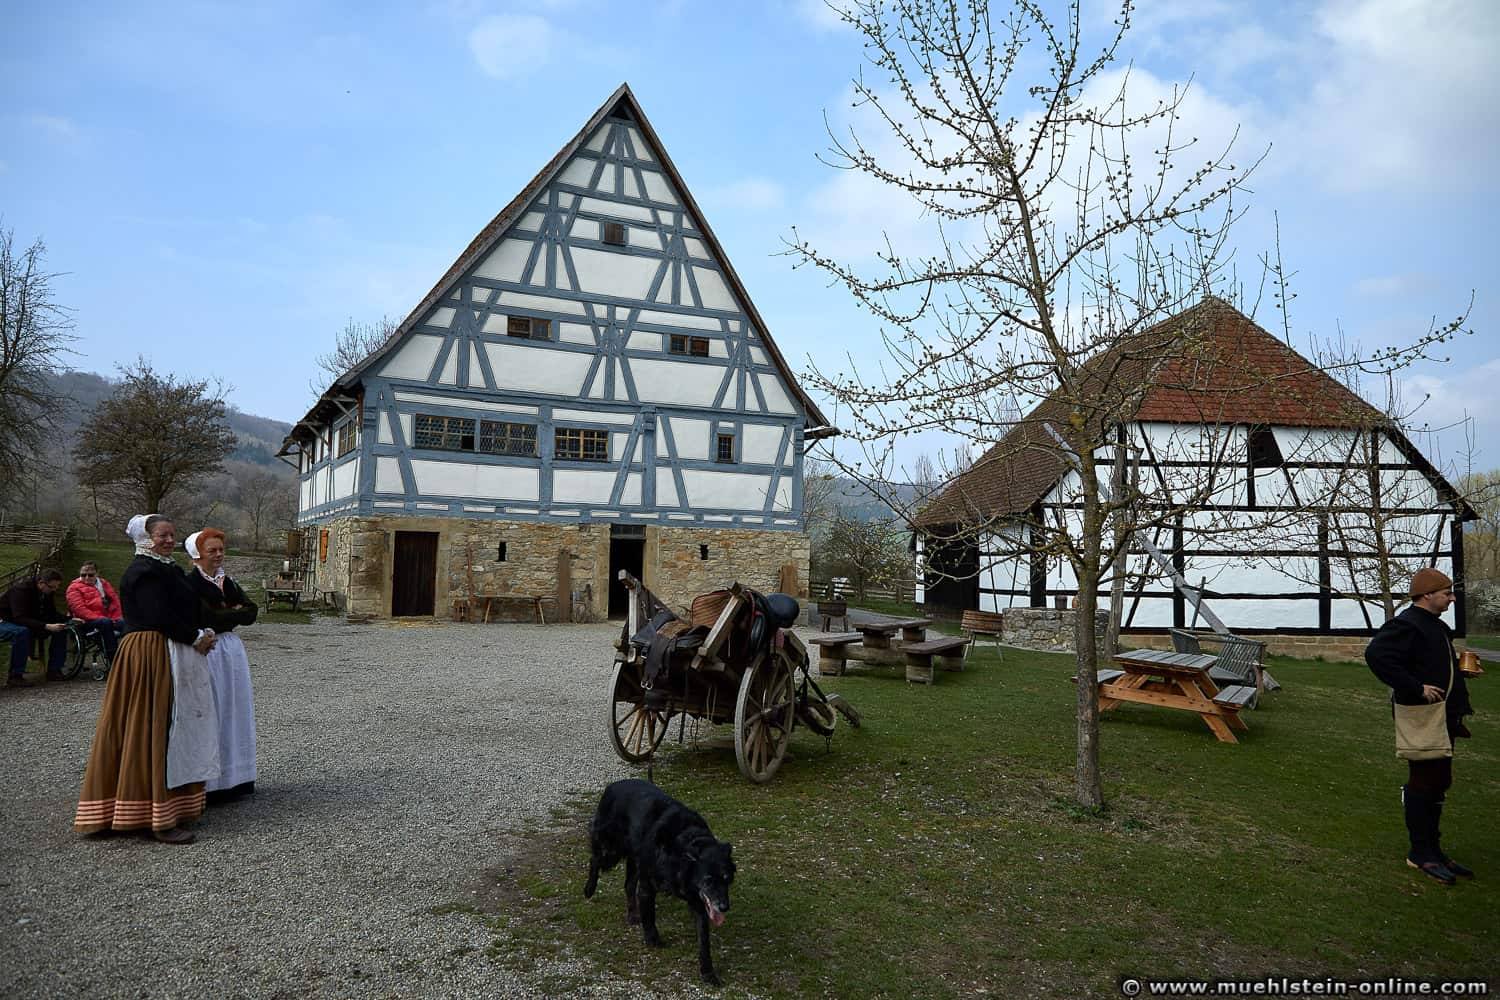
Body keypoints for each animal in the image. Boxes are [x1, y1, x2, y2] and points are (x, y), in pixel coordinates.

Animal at [579, 779, 732, 983]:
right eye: (708, 880)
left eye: (727, 879)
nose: (724, 907)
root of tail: (612, 785)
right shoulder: (648, 886)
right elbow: (650, 916)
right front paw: (653, 940)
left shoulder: (698, 901)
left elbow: (703, 940)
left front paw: (708, 973)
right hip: (611, 851)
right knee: (594, 860)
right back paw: (589, 889)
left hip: (634, 859)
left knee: (628, 885)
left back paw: (632, 914)